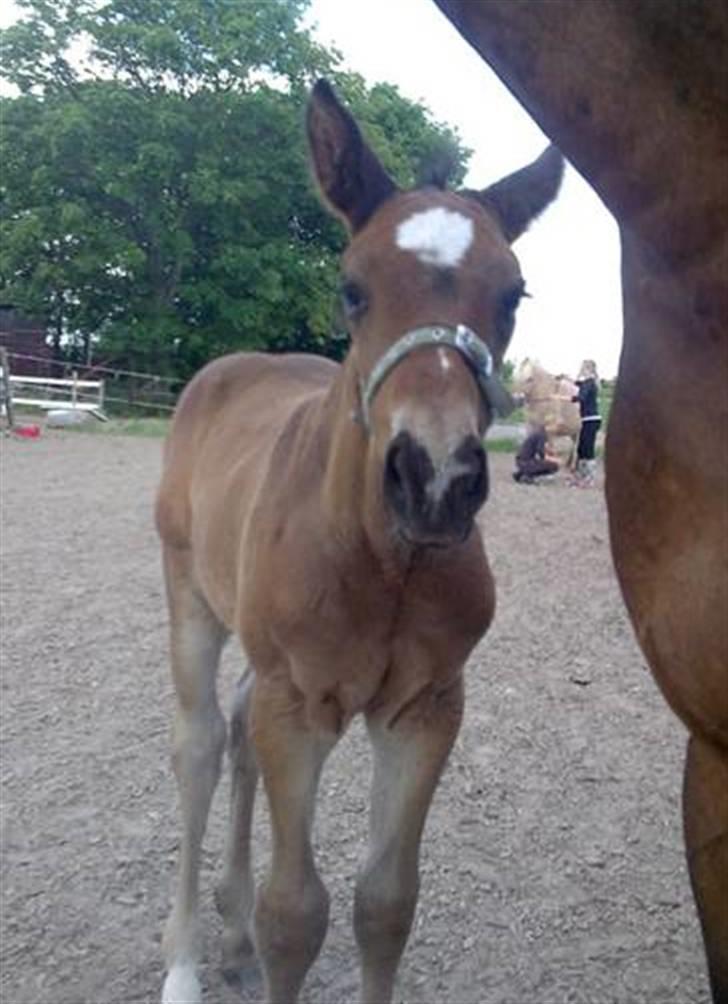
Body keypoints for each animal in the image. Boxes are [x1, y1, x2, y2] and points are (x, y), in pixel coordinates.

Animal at [154, 80, 562, 1003]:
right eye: (350, 288)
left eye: (514, 295)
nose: (434, 477)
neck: (380, 563)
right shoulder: (299, 707)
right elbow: (295, 914)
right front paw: (257, 931)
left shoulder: (425, 708)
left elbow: (385, 903)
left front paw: (258, 931)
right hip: (190, 596)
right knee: (200, 746)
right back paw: (187, 963)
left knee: (235, 727)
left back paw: (230, 938)